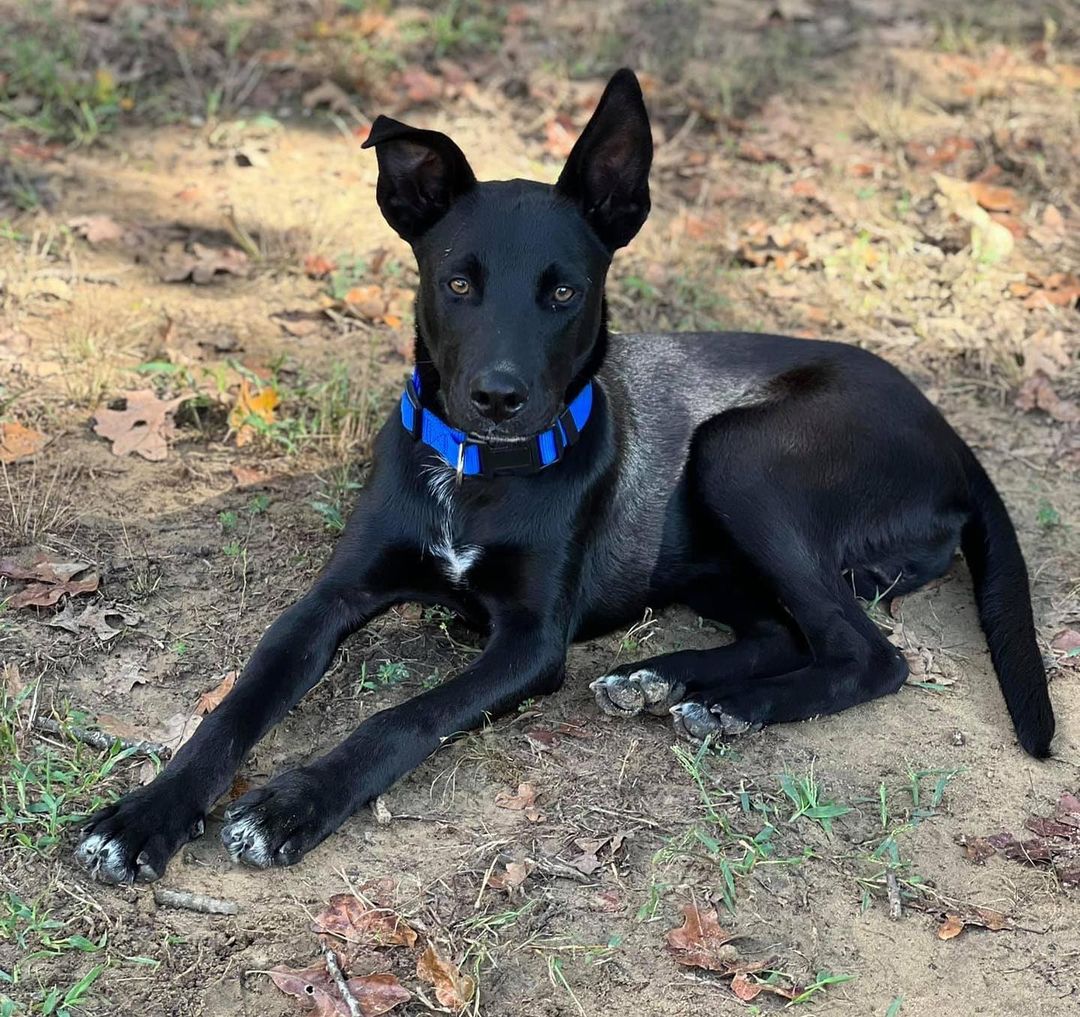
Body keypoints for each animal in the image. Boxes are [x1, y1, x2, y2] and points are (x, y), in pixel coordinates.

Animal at [76, 69, 1054, 885]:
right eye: (457, 283)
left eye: (563, 292)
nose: (498, 397)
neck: (471, 478)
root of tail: (950, 432)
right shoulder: (330, 598)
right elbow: (237, 703)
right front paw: (144, 815)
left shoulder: (530, 641)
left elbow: (402, 717)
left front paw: (291, 803)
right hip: (713, 545)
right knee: (785, 629)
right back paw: (666, 680)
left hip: (741, 453)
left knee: (868, 653)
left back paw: (727, 708)